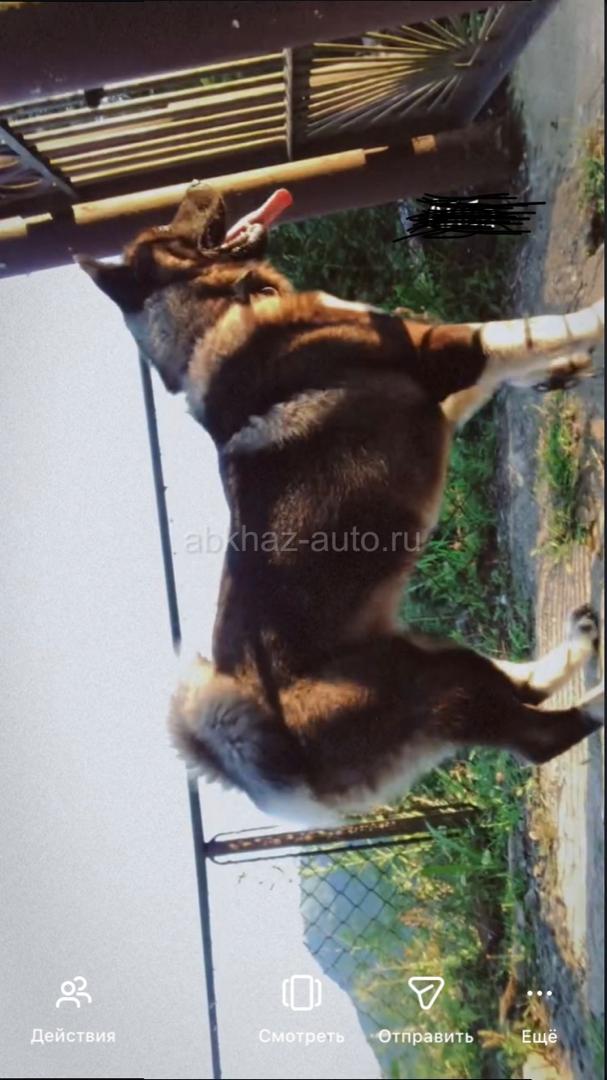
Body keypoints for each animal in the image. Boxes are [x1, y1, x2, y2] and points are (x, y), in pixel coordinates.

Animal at [79, 182, 604, 825]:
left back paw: (580, 643)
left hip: (422, 656)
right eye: (162, 233)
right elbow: (536, 328)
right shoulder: (442, 353)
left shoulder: (440, 385)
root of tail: (264, 770)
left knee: (522, 691)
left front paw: (556, 369)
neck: (216, 316)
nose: (196, 187)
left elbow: (516, 358)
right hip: (426, 680)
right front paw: (588, 329)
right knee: (540, 736)